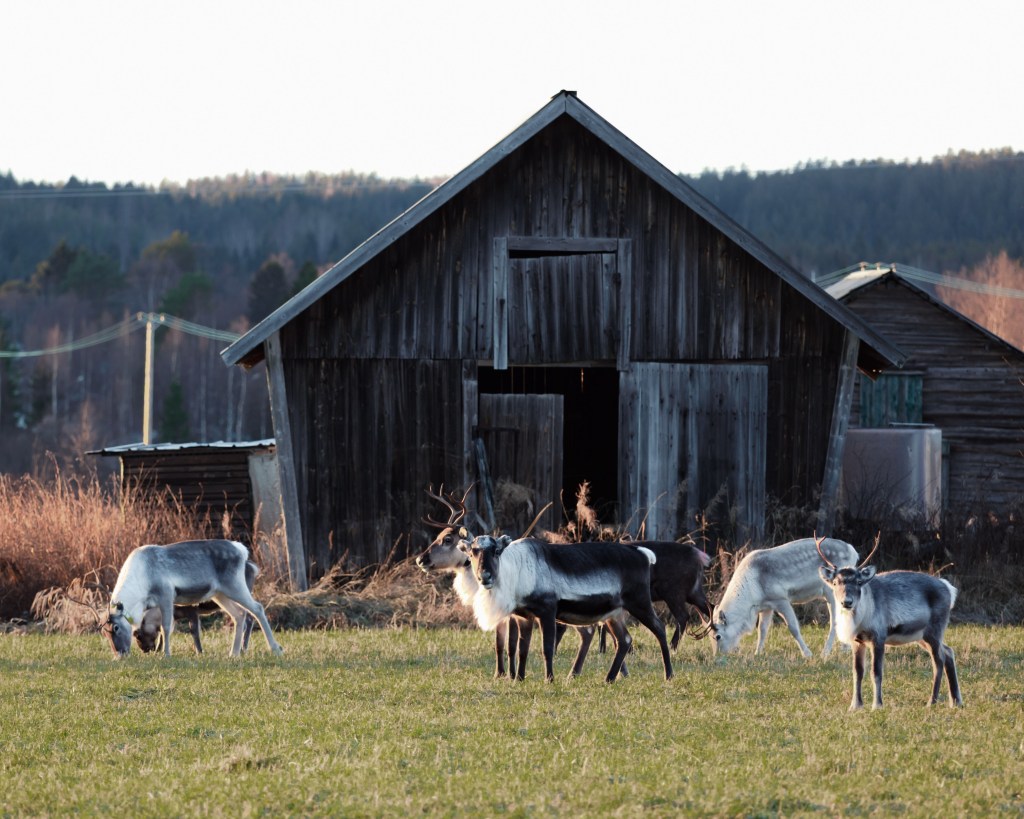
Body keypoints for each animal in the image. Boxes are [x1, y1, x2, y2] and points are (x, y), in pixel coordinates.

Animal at [103, 539, 282, 658]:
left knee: (257, 608)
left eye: (116, 627)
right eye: (104, 633)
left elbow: (166, 627)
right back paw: (234, 653)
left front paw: (166, 655)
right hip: (220, 594)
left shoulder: (166, 595)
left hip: (235, 586)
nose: (119, 655)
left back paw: (275, 648)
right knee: (239, 614)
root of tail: (242, 550)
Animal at [816, 535, 963, 710]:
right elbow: (857, 673)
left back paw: (931, 702)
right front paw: (855, 706)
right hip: (921, 635)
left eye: (859, 582)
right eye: (835, 582)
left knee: (938, 661)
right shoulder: (857, 641)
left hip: (934, 630)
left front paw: (877, 705)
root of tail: (949, 589)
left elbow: (876, 672)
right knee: (948, 652)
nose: (847, 602)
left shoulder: (878, 637)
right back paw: (956, 701)